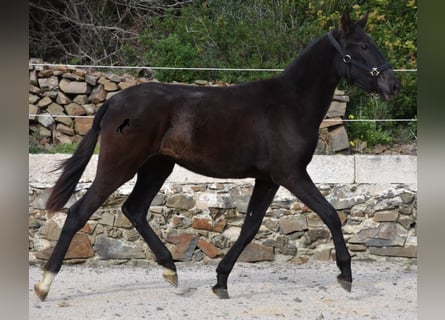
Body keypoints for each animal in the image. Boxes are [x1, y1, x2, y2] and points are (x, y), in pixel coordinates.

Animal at [34, 10, 400, 300]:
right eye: (361, 46)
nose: (393, 85)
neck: (289, 105)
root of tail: (112, 102)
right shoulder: (292, 174)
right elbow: (330, 214)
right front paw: (345, 276)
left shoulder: (268, 179)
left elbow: (250, 227)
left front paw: (221, 281)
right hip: (120, 165)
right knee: (79, 212)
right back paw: (44, 285)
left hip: (157, 167)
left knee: (133, 209)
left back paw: (170, 270)